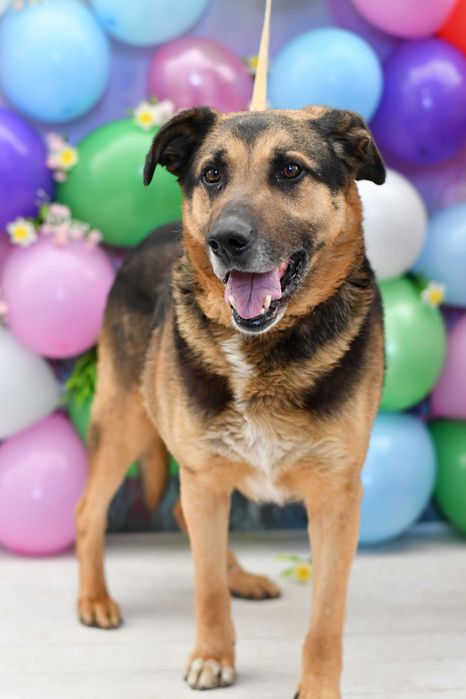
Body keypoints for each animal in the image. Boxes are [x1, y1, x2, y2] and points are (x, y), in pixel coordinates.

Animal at [75, 104, 386, 698]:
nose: (226, 240)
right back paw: (94, 599)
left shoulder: (337, 497)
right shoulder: (204, 475)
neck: (262, 352)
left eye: (290, 170)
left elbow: (326, 614)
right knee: (90, 511)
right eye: (212, 174)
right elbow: (205, 587)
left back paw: (239, 575)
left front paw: (318, 685)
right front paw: (213, 655)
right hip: (125, 421)